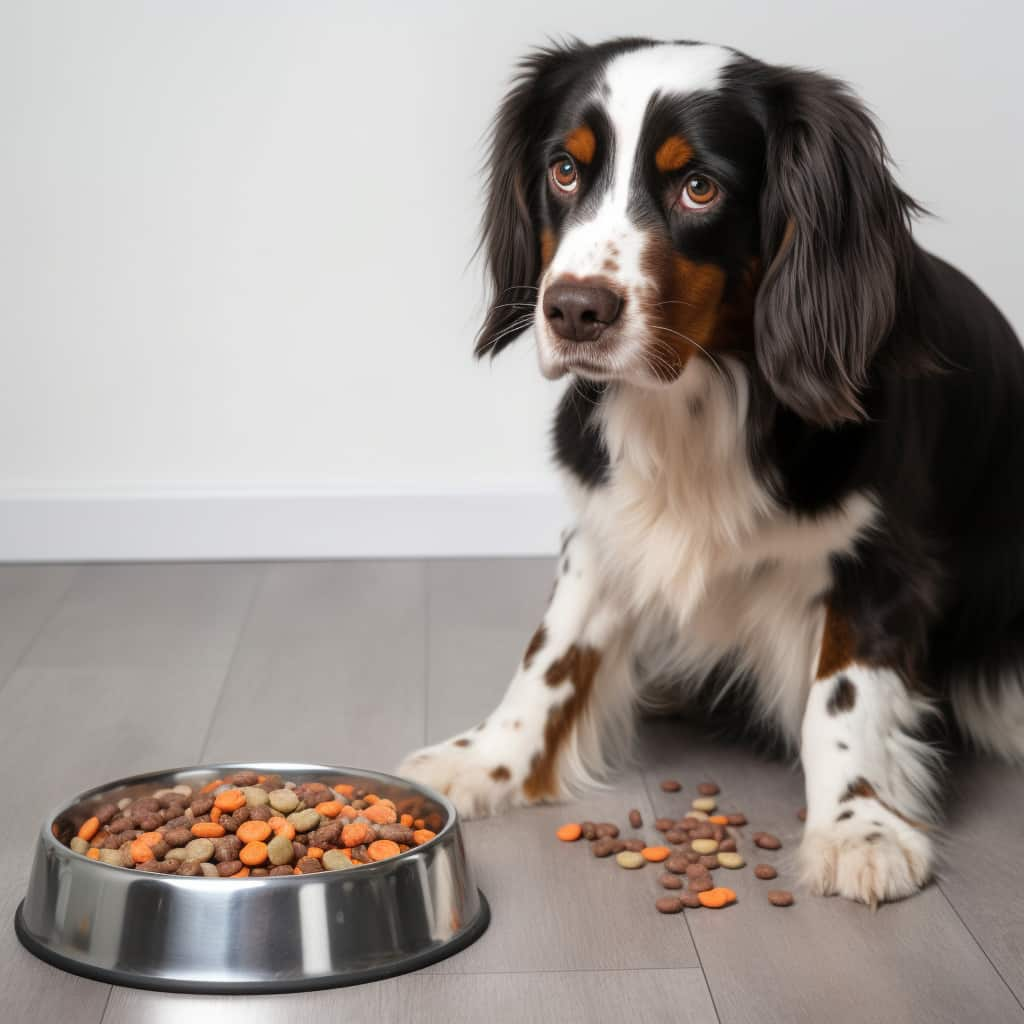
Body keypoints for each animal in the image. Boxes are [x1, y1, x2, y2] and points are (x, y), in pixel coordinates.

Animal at [395, 37, 1024, 905]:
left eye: (699, 187)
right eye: (564, 170)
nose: (574, 310)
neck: (700, 395)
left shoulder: (882, 557)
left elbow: (844, 699)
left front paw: (857, 826)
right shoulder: (602, 526)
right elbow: (550, 653)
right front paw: (487, 759)